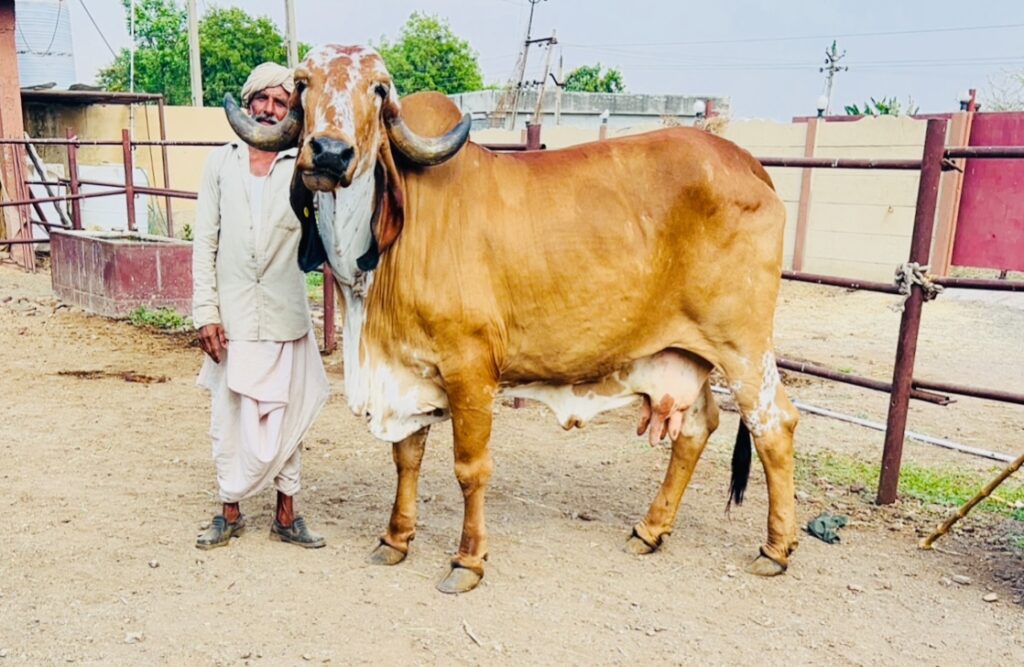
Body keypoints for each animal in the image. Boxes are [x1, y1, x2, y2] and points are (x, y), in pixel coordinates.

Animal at [224, 44, 800, 594]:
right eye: (303, 84)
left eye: (379, 88)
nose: (329, 151)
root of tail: (746, 160)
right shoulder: (408, 370)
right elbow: (406, 458)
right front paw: (395, 539)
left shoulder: (470, 369)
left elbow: (470, 469)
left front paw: (468, 560)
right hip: (684, 352)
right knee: (698, 427)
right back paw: (650, 529)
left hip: (743, 347)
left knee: (774, 426)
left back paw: (775, 549)